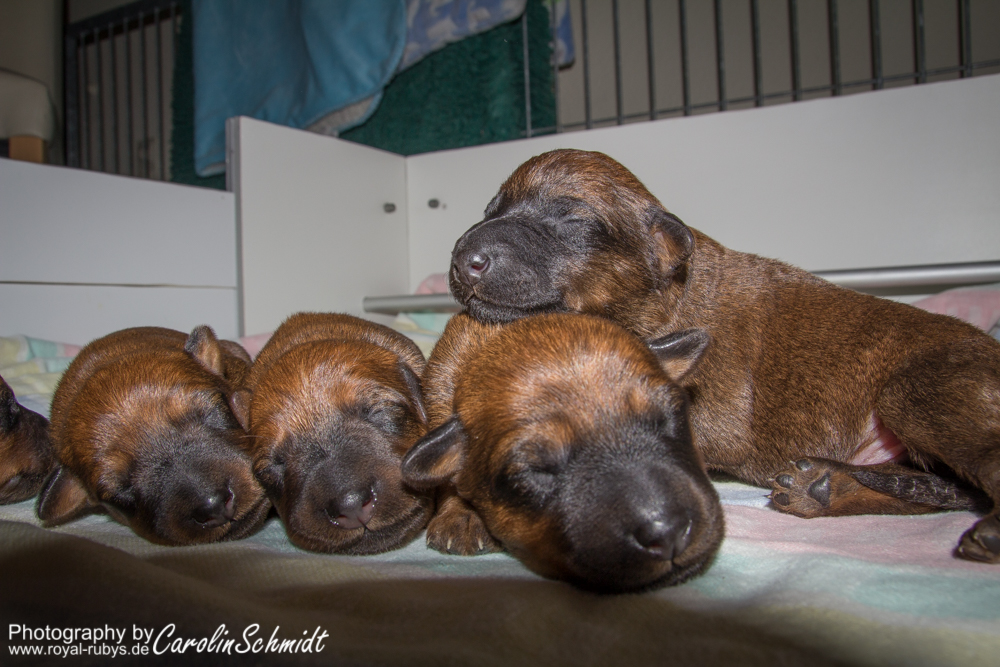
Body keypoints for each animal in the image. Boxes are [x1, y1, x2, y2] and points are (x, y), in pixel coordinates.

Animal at [448, 148, 1000, 564]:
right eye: (490, 211)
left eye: (574, 219)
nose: (462, 258)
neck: (667, 294)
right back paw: (822, 487)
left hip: (923, 390)